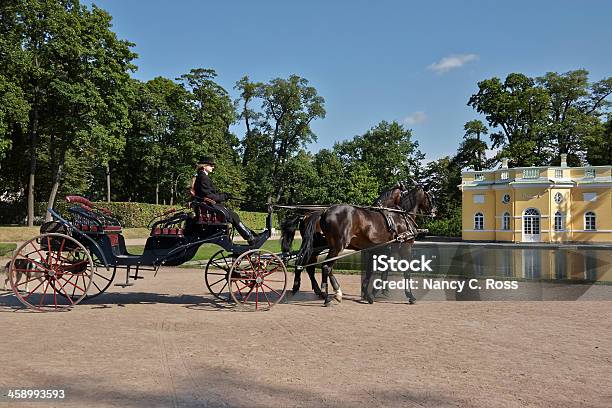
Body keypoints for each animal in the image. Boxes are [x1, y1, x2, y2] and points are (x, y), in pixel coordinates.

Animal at [296, 185, 436, 306]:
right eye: (431, 195)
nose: (434, 211)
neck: (400, 217)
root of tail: (324, 211)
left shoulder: (378, 250)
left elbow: (372, 271)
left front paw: (369, 293)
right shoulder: (404, 248)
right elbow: (405, 272)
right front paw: (410, 296)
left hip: (321, 248)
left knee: (306, 264)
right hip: (336, 247)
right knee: (325, 267)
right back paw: (328, 296)